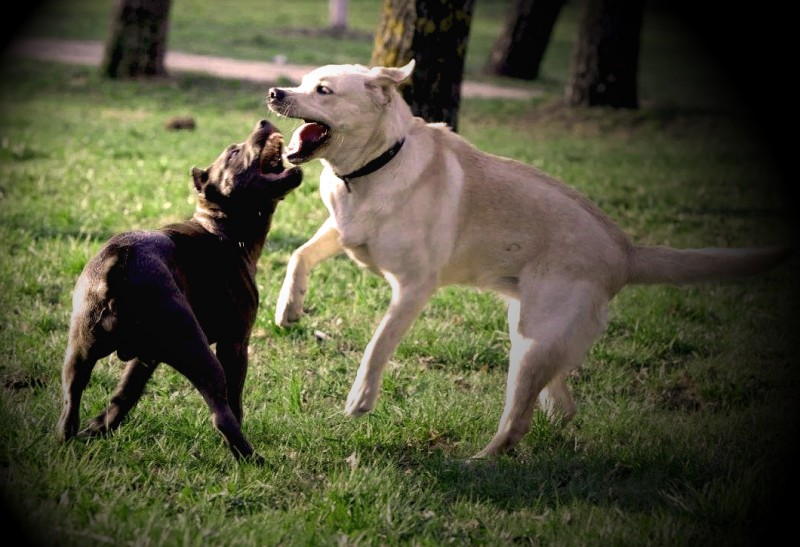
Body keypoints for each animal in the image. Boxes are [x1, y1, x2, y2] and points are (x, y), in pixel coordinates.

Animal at [55, 120, 300, 462]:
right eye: (234, 152)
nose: (263, 122)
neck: (222, 227)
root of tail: (120, 260)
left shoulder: (146, 357)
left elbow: (125, 393)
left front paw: (100, 427)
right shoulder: (235, 344)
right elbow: (236, 401)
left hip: (79, 352)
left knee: (71, 400)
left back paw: (71, 438)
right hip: (199, 354)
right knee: (222, 414)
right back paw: (252, 458)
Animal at [268, 60, 788, 460]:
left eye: (323, 90)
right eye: (302, 81)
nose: (275, 92)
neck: (378, 164)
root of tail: (626, 251)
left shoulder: (413, 288)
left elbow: (377, 346)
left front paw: (360, 398)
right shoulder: (340, 229)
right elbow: (299, 254)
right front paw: (288, 307)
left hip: (533, 344)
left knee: (517, 422)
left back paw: (478, 462)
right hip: (531, 334)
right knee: (558, 396)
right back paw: (555, 414)